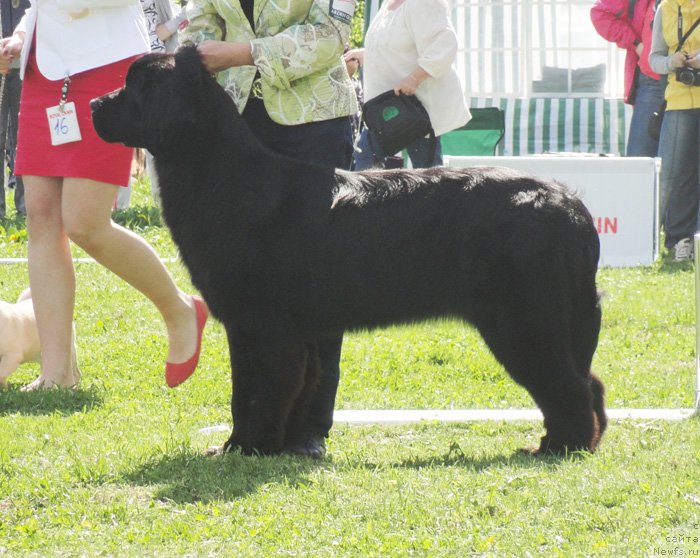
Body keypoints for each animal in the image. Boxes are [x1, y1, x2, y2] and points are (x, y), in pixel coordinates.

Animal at [91, 47, 608, 460]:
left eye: (135, 86)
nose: (94, 103)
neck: (222, 175)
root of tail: (569, 202)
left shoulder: (261, 325)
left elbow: (254, 391)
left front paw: (244, 448)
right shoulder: (292, 330)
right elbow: (289, 386)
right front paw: (271, 447)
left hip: (524, 320)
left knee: (568, 386)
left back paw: (558, 447)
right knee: (590, 382)